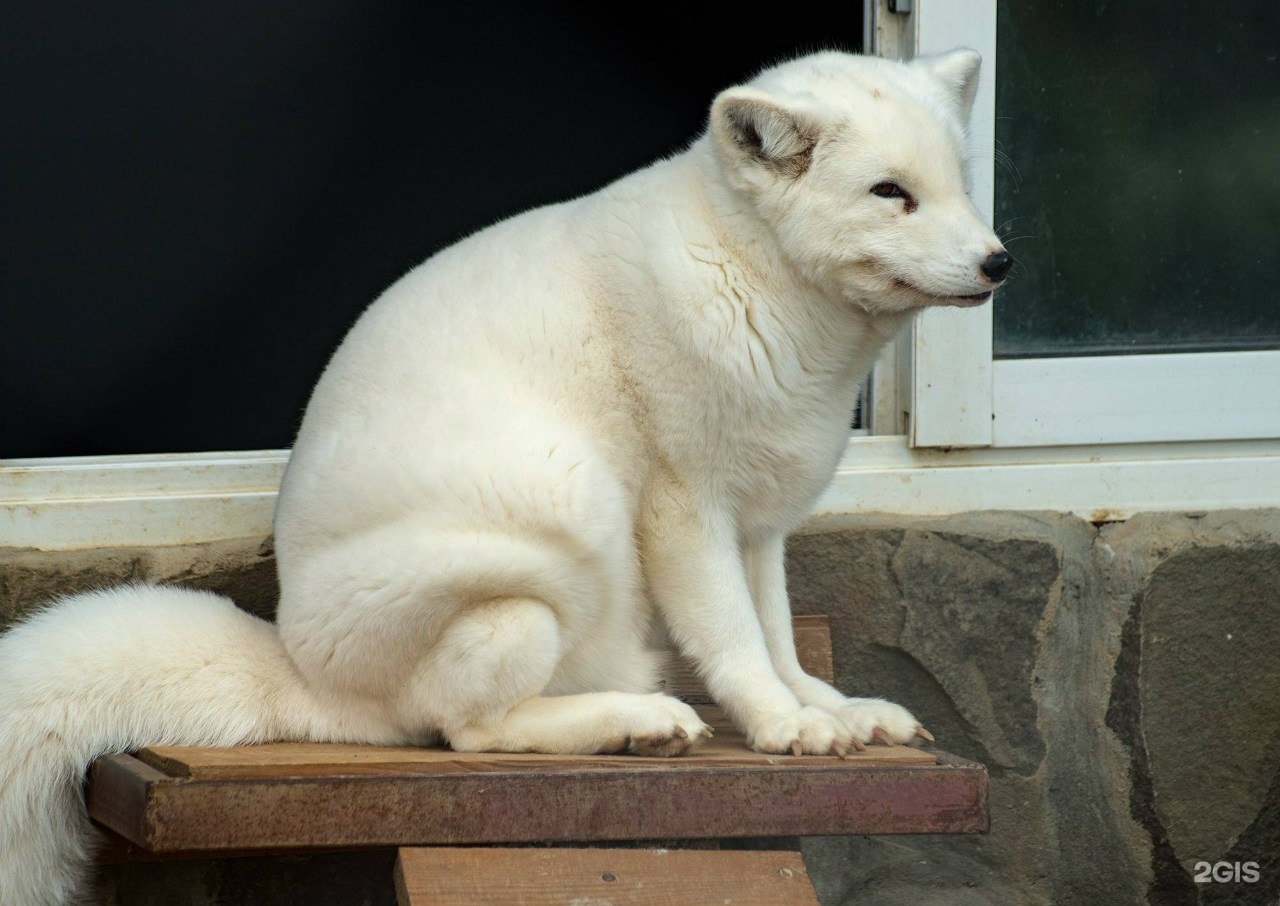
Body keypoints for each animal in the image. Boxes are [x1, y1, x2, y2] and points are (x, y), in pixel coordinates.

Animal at [0, 51, 1008, 906]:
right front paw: (782, 730)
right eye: (890, 192)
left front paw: (835, 713)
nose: (999, 261)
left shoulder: (761, 524)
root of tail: (303, 672)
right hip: (561, 522)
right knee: (465, 732)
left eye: (961, 183)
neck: (751, 277)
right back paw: (633, 721)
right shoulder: (686, 508)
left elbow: (781, 640)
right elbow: (734, 639)